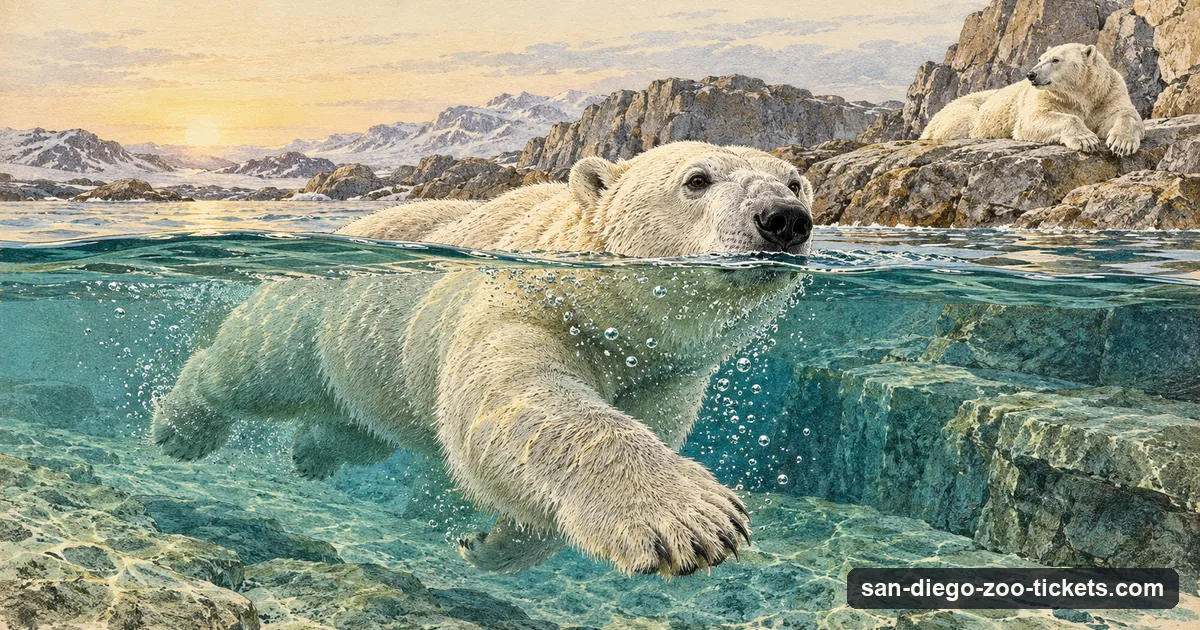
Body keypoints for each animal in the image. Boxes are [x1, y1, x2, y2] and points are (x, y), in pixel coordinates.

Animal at [151, 141, 816, 577]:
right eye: (697, 180)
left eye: (795, 181)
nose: (785, 220)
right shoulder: (523, 302)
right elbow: (514, 403)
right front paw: (692, 518)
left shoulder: (668, 372)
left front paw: (491, 544)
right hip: (320, 304)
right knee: (253, 367)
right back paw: (181, 428)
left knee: (359, 427)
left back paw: (314, 452)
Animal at [921, 43, 1144, 156]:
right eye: (1040, 58)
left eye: (1056, 59)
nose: (1031, 74)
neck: (1081, 95)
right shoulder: (1044, 97)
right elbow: (1034, 118)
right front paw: (1086, 140)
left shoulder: (1107, 93)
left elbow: (1125, 113)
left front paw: (1122, 143)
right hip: (961, 112)